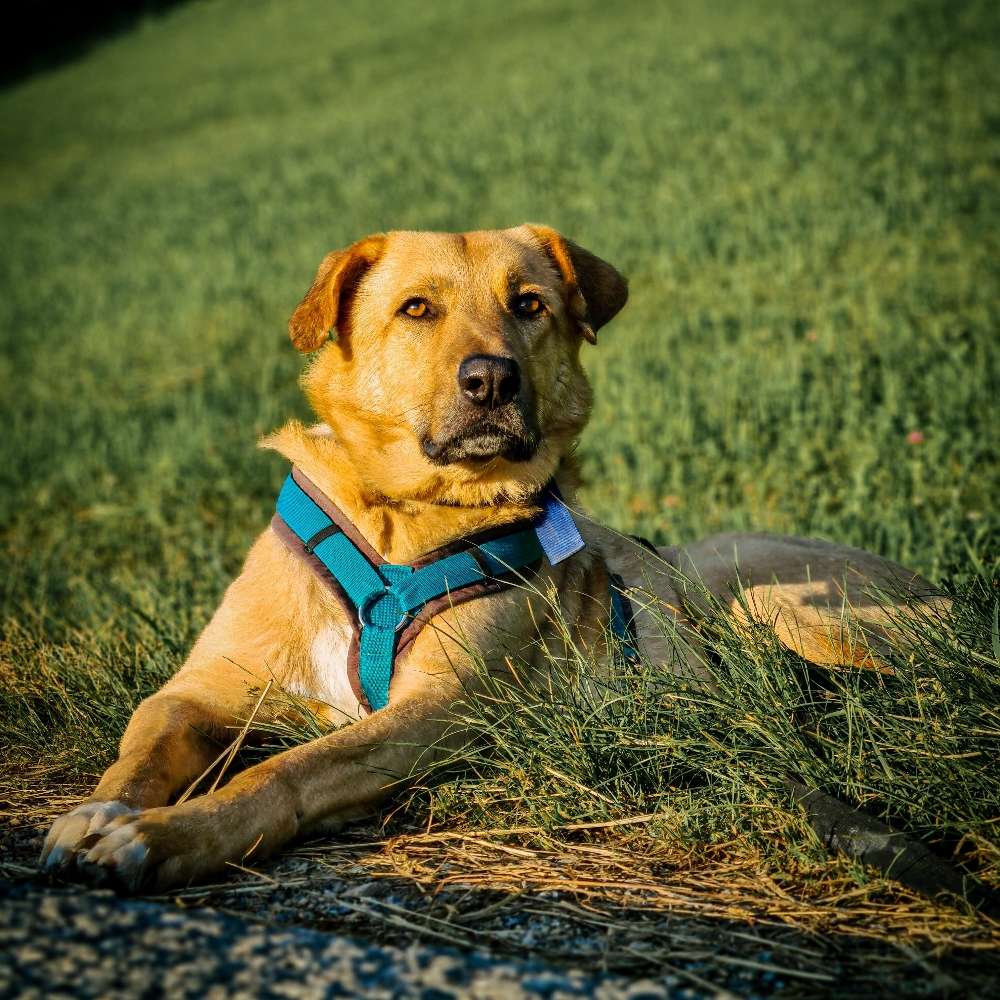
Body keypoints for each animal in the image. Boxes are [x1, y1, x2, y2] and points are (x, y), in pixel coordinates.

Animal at [39, 227, 940, 892]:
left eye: (529, 305)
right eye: (416, 309)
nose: (492, 382)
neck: (399, 519)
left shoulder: (439, 711)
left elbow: (286, 771)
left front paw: (160, 837)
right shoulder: (200, 689)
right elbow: (137, 753)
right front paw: (99, 816)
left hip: (770, 604)